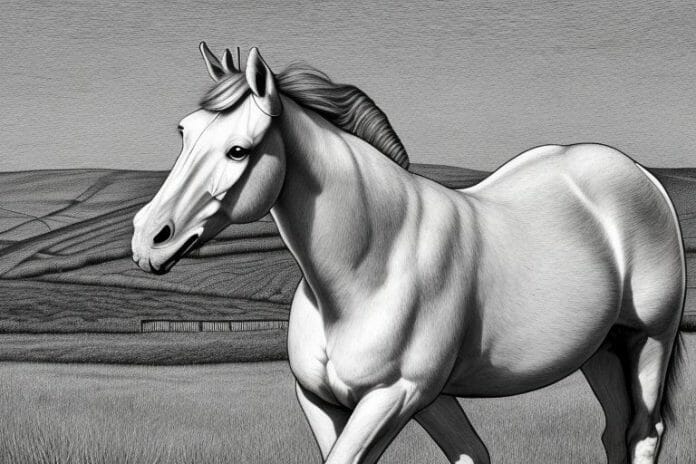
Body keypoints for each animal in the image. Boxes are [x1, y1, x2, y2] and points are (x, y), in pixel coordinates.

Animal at [131, 43, 685, 464]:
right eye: (184, 132)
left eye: (239, 150)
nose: (147, 240)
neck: (371, 267)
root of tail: (638, 174)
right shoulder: (342, 402)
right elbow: (470, 453)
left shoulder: (395, 396)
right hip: (600, 351)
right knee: (611, 432)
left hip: (647, 341)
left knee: (642, 432)